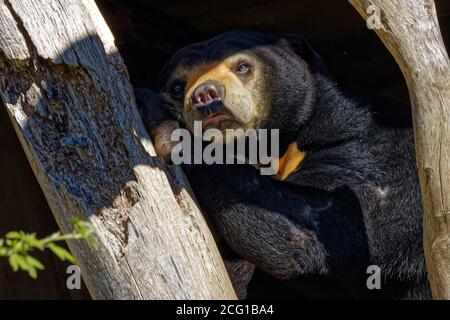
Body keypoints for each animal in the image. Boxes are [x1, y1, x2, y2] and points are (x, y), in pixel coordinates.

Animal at [135, 30, 430, 300]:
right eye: (177, 86)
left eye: (242, 67)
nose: (206, 95)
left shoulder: (367, 152)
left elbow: (310, 230)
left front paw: (160, 118)